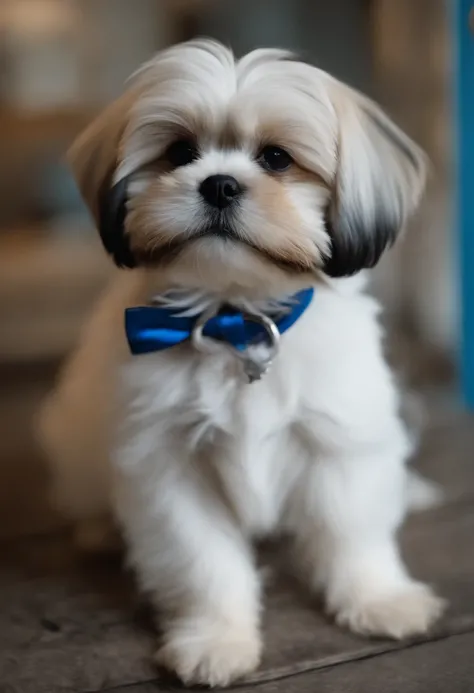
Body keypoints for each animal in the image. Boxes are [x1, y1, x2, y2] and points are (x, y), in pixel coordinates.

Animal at [39, 40, 446, 688]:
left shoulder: (339, 442)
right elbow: (202, 563)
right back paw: (101, 527)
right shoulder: (170, 469)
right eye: (180, 152)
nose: (220, 184)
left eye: (277, 159)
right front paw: (216, 639)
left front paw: (380, 600)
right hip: (75, 443)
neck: (235, 321)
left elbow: (353, 532)